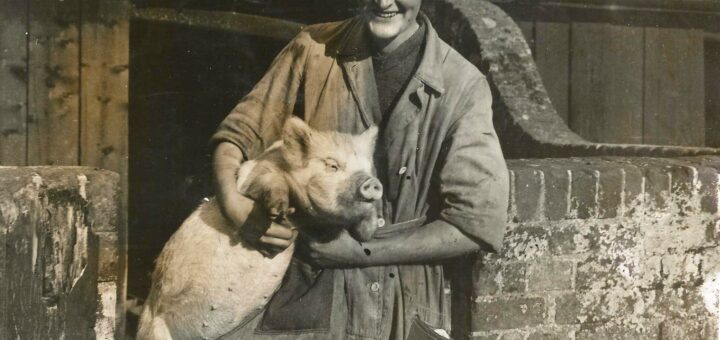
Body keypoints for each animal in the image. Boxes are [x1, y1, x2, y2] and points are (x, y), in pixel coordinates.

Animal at [136, 118, 382, 340]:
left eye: (367, 168)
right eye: (332, 165)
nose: (371, 181)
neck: (301, 216)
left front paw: (369, 229)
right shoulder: (255, 176)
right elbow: (271, 183)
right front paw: (279, 211)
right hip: (153, 330)